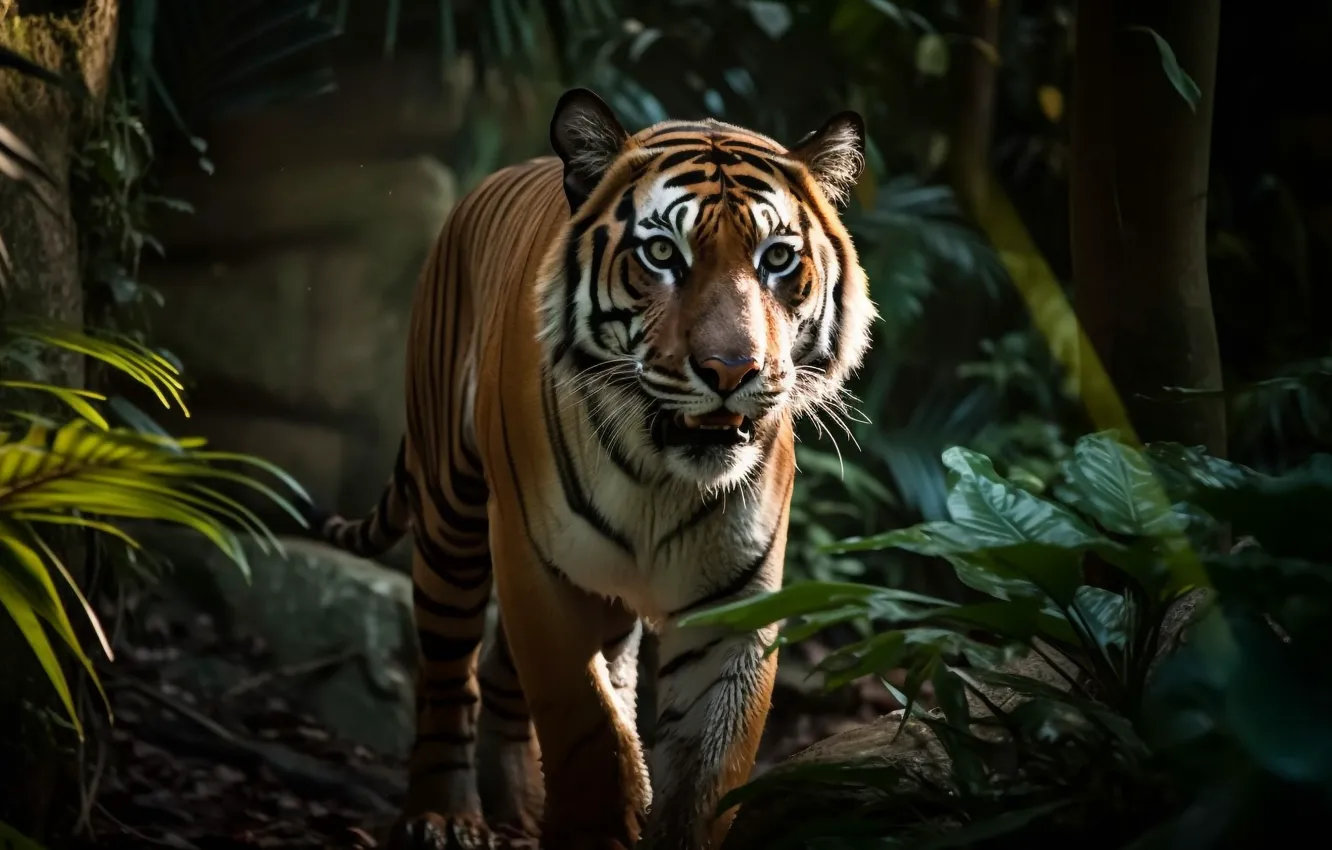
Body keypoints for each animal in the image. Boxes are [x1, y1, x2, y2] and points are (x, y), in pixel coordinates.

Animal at [308, 88, 874, 850]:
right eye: (662, 253)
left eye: (778, 258)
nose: (732, 371)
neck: (663, 476)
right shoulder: (537, 565)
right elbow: (585, 728)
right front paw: (604, 816)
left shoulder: (734, 605)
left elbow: (708, 771)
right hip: (454, 520)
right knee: (451, 673)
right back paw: (444, 815)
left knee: (504, 670)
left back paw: (519, 805)